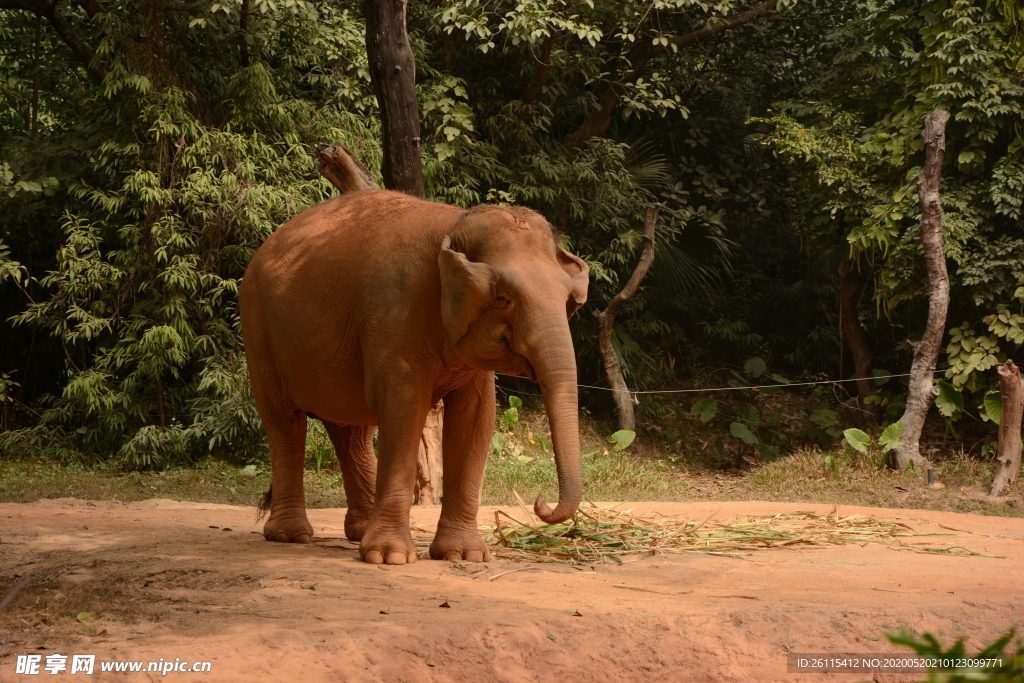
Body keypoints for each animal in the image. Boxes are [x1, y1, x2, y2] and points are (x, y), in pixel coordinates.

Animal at [239, 188, 589, 565]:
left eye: (567, 299)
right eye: (503, 299)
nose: (540, 502)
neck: (455, 224)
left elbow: (476, 418)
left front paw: (464, 555)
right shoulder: (395, 313)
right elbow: (403, 409)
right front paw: (389, 557)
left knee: (351, 430)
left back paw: (358, 531)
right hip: (258, 332)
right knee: (284, 422)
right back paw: (290, 535)